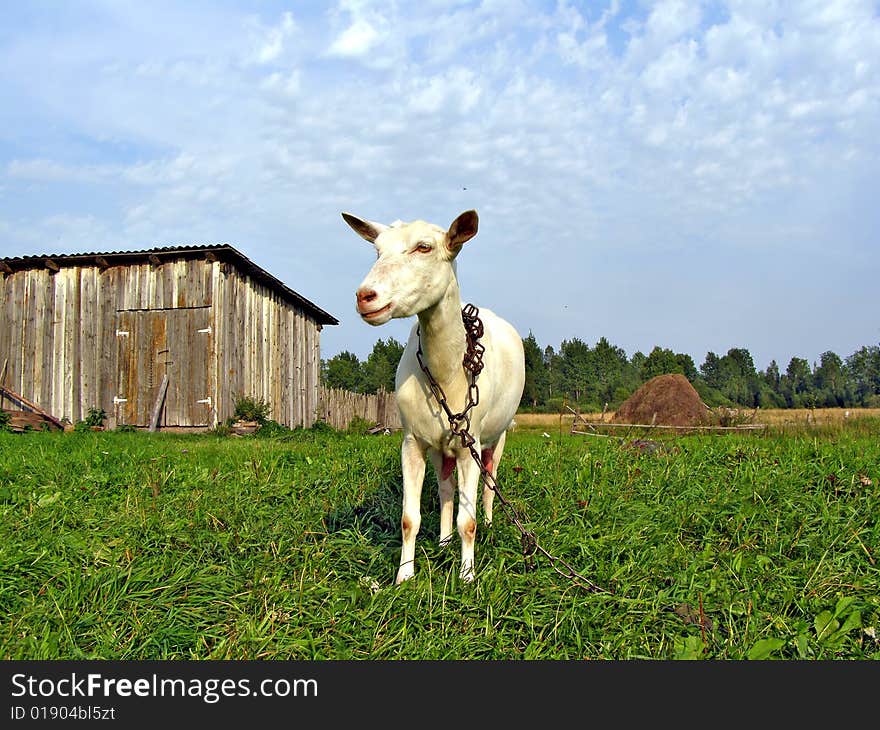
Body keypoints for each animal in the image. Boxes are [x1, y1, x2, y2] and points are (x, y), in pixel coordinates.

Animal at [342, 209, 524, 580]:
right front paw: (404, 576)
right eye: (377, 250)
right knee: (445, 489)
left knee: (490, 481)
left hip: (497, 434)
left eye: (424, 247)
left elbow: (468, 521)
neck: (448, 371)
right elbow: (409, 518)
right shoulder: (412, 440)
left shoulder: (471, 439)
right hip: (443, 443)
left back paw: (488, 524)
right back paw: (443, 541)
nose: (365, 296)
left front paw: (467, 576)